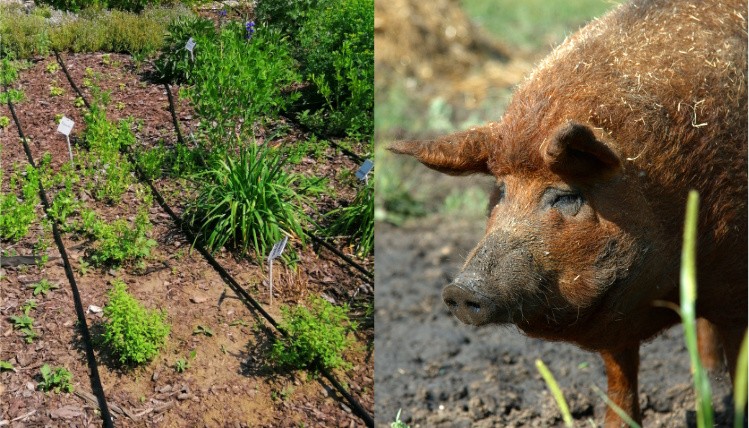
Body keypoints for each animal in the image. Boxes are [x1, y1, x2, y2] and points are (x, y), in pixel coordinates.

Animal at [388, 0, 744, 424]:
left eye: (566, 197)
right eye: (501, 191)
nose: (461, 289)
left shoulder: (734, 289)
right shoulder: (613, 315)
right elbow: (620, 378)